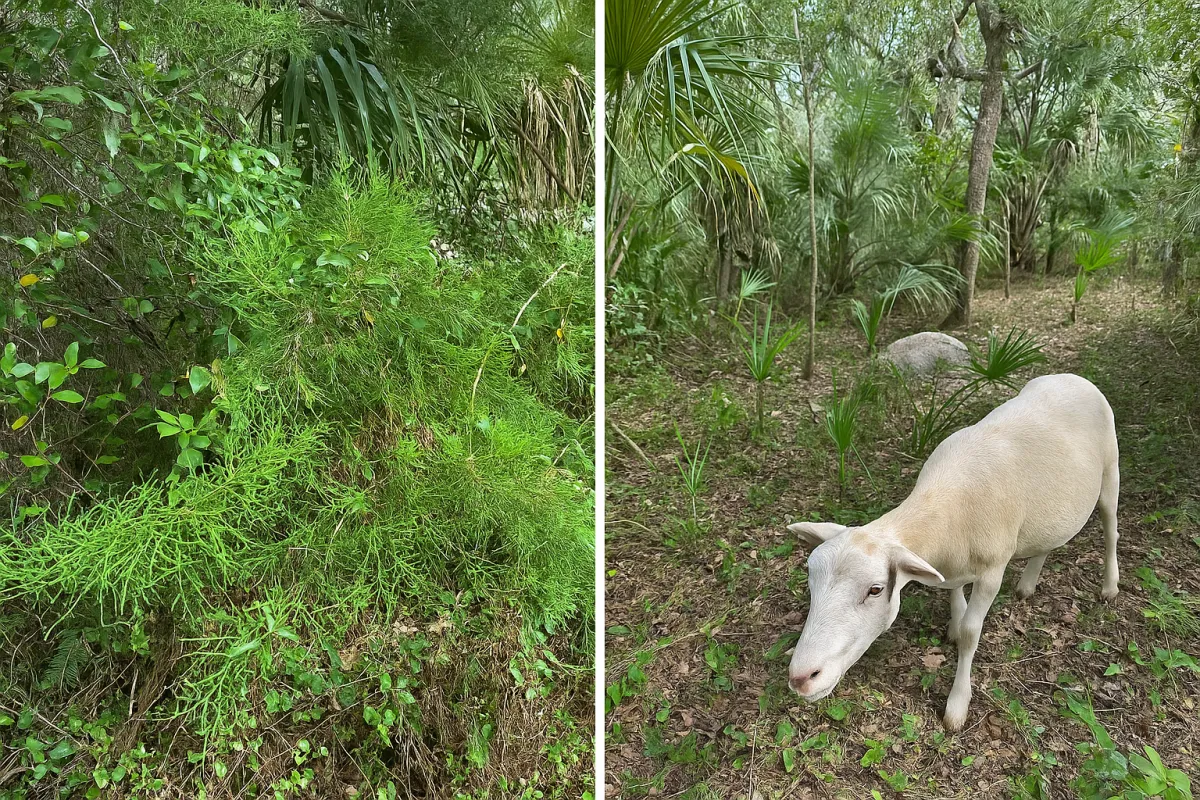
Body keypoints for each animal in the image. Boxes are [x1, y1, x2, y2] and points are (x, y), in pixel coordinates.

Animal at [785, 373, 1120, 731]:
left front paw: (957, 706)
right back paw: (1028, 585)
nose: (801, 678)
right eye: (810, 582)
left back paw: (1110, 586)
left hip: (1111, 470)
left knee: (1111, 528)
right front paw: (954, 627)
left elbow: (972, 633)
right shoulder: (950, 564)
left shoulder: (992, 570)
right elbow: (954, 594)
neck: (946, 507)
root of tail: (1070, 376)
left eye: (875, 590)